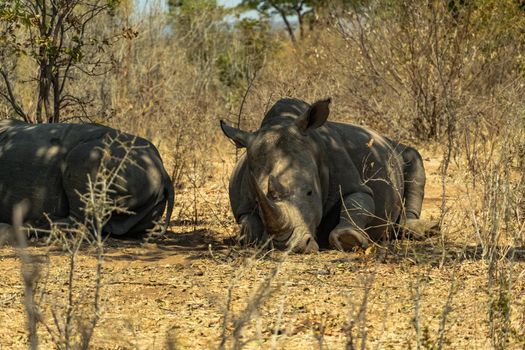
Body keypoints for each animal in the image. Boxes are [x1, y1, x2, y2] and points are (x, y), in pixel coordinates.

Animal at [219, 97, 432, 253]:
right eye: (257, 200)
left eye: (310, 192)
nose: (286, 246)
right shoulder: (243, 202)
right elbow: (248, 224)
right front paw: (249, 238)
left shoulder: (349, 177)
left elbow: (357, 202)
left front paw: (349, 240)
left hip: (396, 149)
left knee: (413, 157)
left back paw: (414, 229)